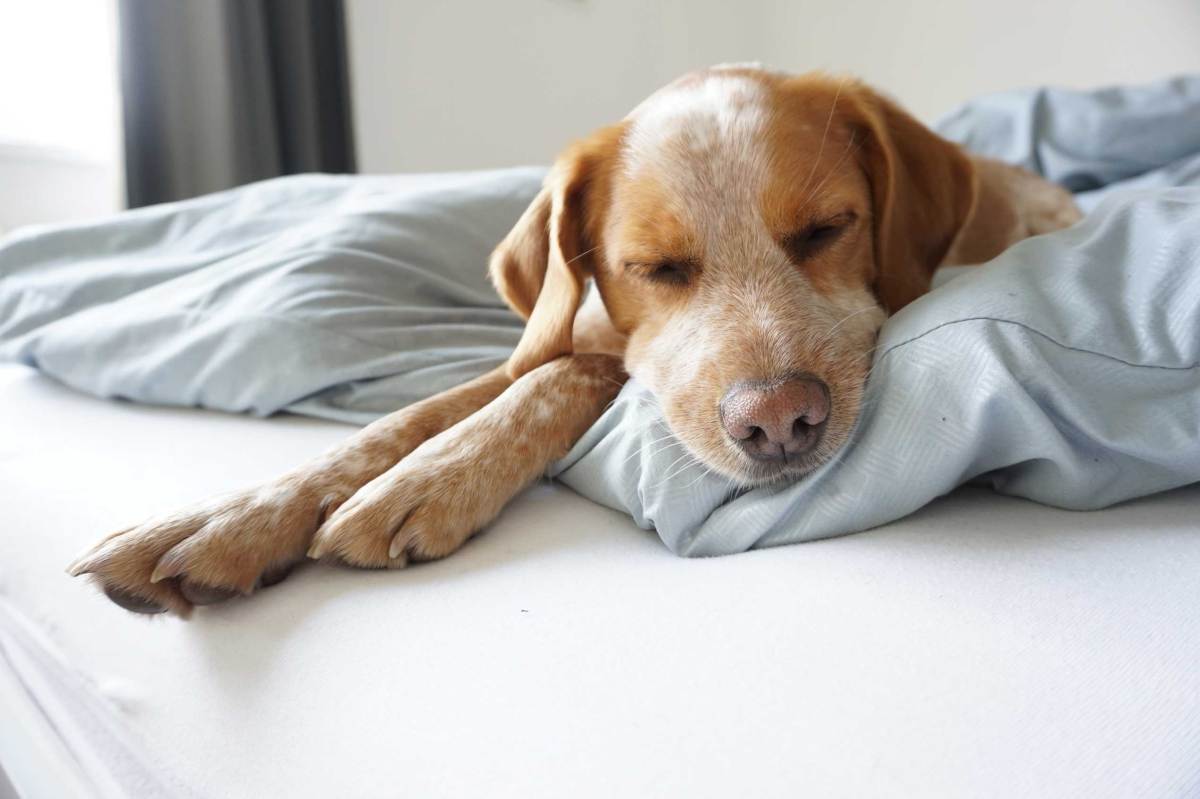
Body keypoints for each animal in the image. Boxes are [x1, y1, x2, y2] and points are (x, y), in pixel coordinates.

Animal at [65, 66, 1084, 614]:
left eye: (827, 230)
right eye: (655, 267)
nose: (780, 420)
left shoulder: (596, 360)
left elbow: (563, 381)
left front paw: (432, 479)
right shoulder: (553, 333)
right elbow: (406, 418)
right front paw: (233, 515)